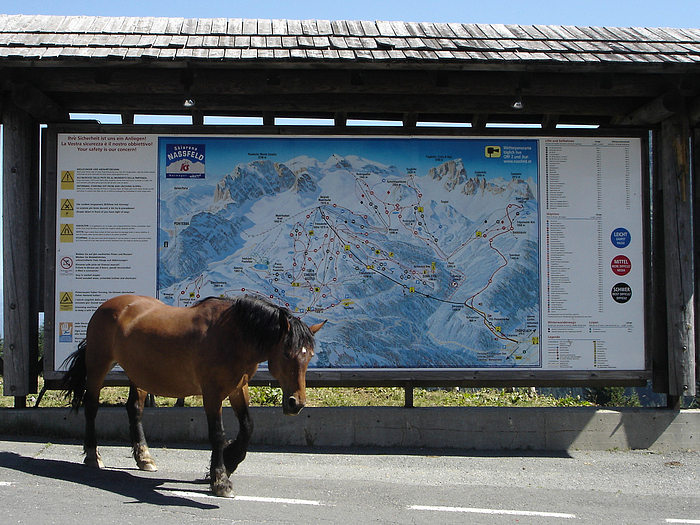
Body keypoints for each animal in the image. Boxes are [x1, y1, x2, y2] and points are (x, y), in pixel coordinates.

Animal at [61, 294, 324, 496]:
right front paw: (220, 480)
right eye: (287, 353)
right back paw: (92, 456)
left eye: (310, 355)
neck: (232, 335)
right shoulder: (212, 393)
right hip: (98, 366)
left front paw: (229, 461)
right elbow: (217, 434)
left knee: (134, 410)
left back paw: (144, 458)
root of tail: (108, 305)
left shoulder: (238, 388)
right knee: (91, 407)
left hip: (138, 374)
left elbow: (248, 427)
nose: (296, 403)